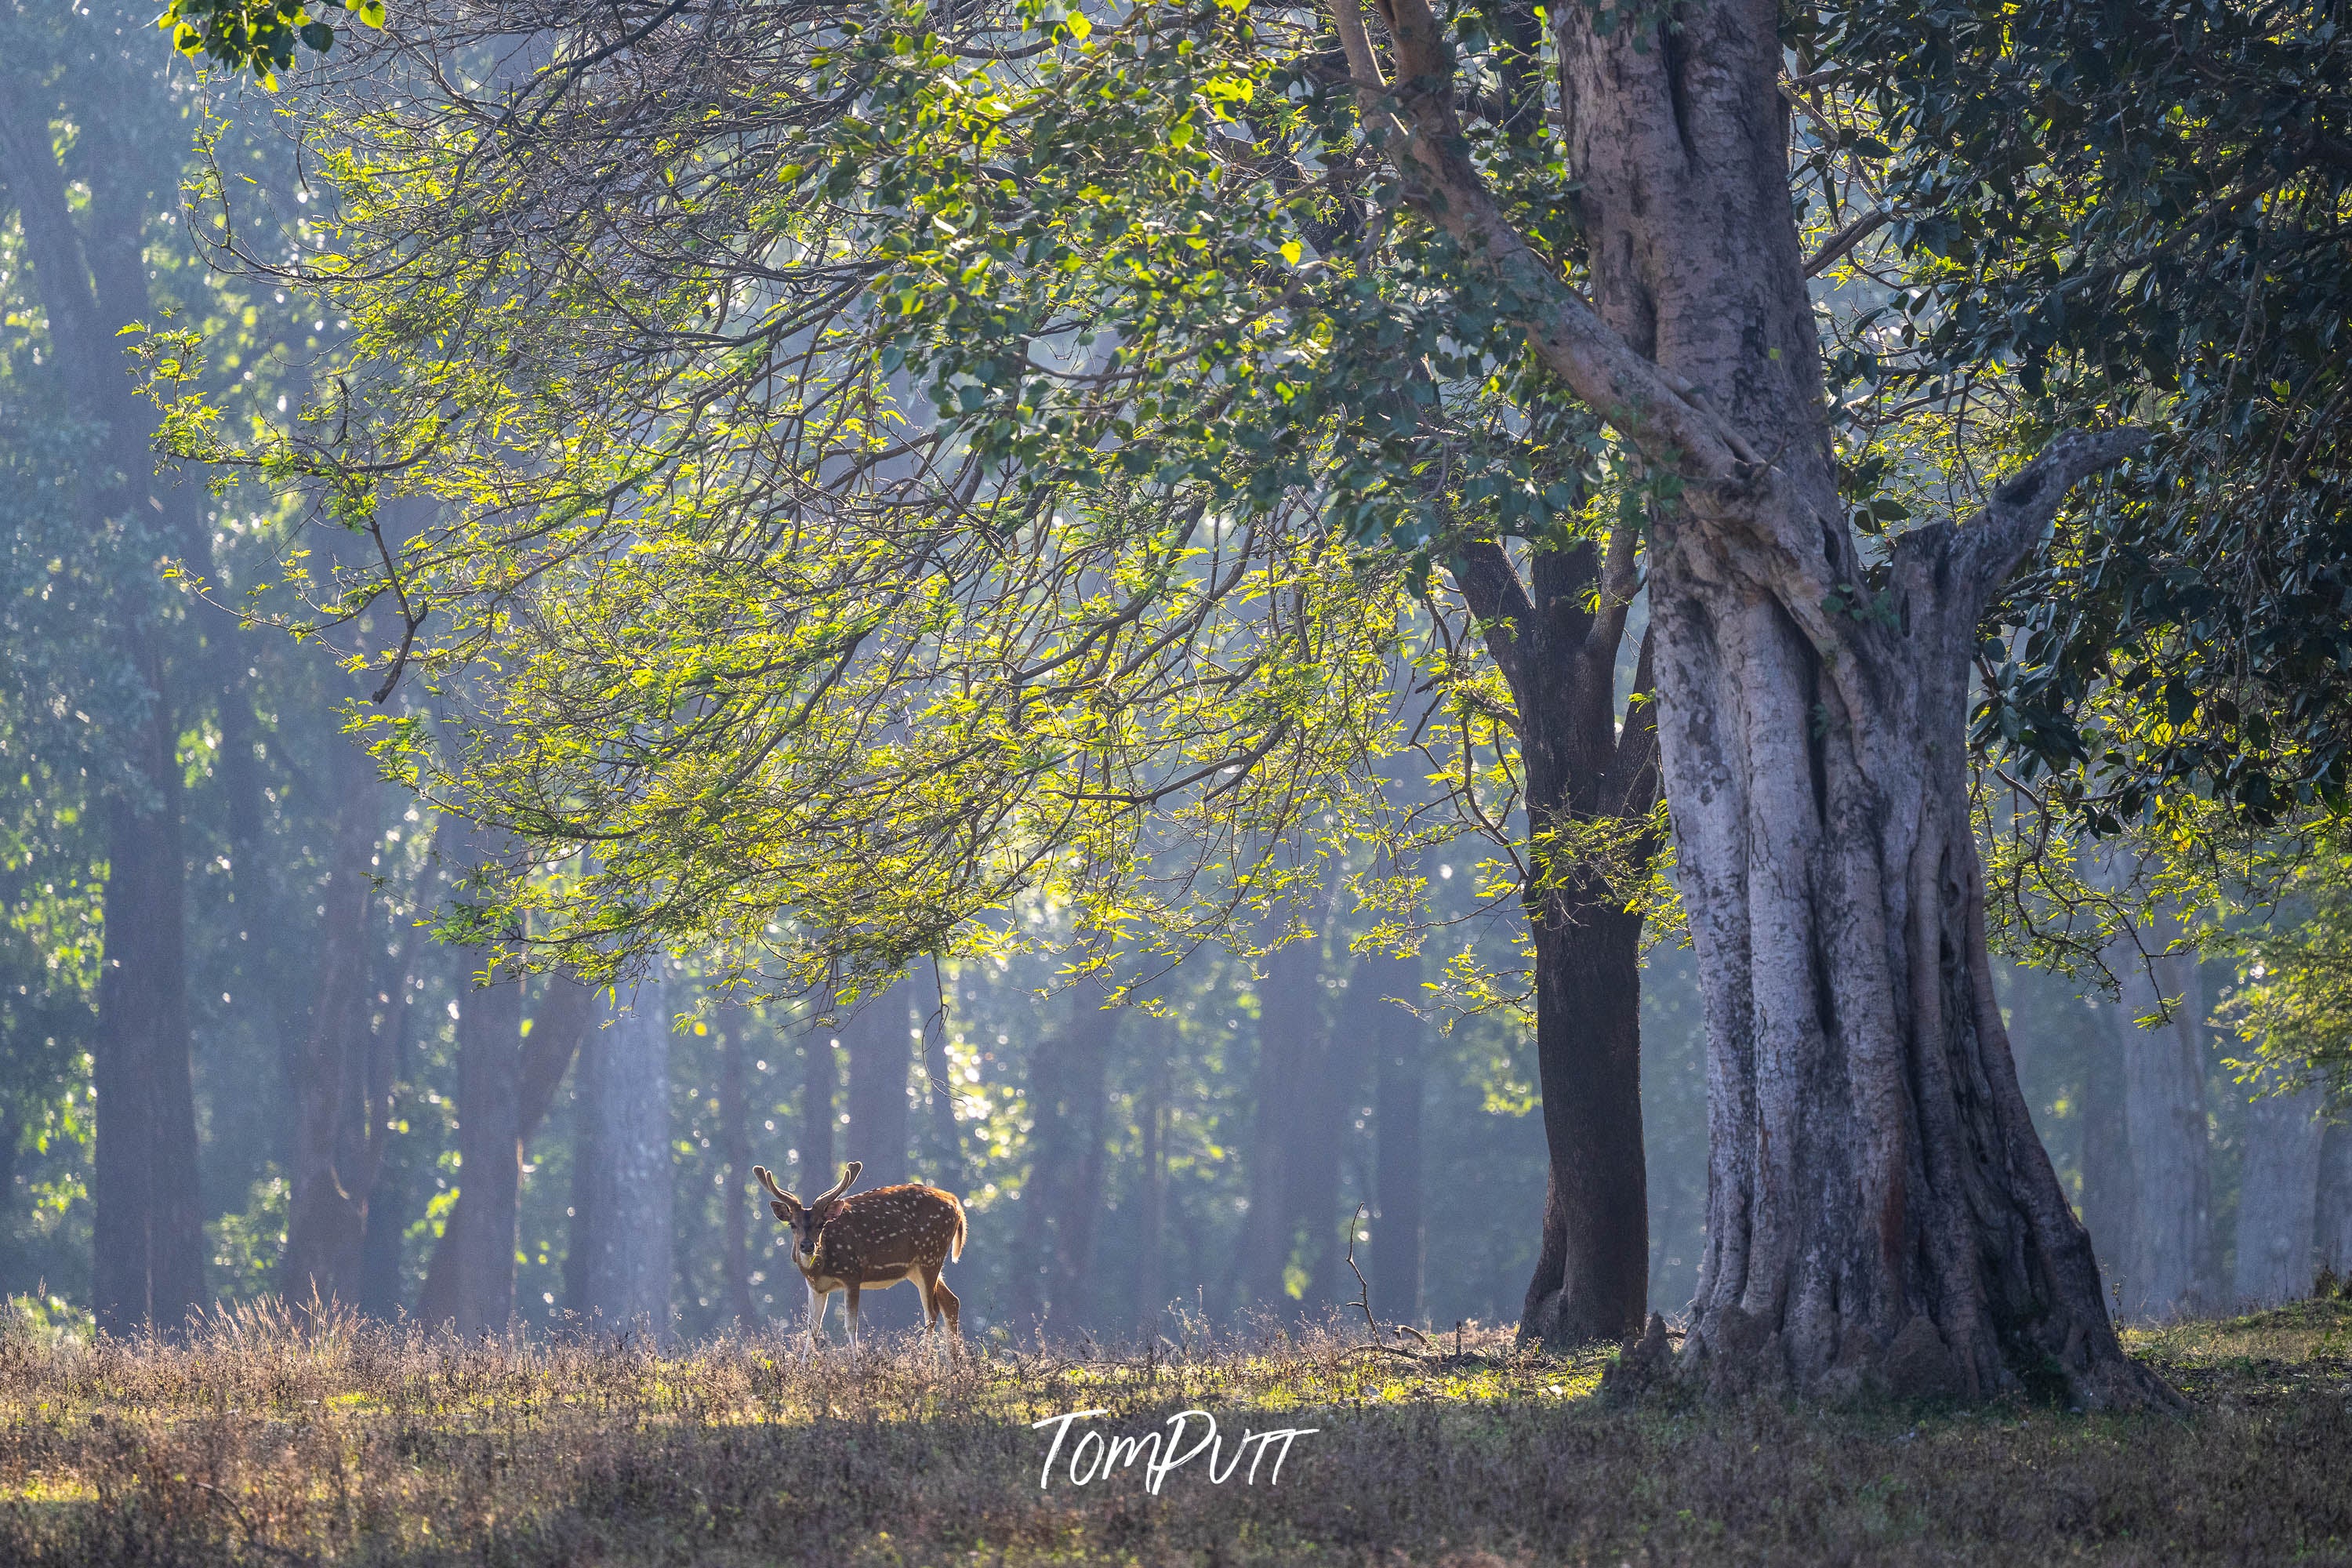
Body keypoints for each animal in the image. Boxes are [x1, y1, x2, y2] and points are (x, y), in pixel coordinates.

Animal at [752, 1159, 966, 1357]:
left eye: (821, 1224)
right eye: (792, 1225)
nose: (807, 1246)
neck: (820, 1268)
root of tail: (957, 1204)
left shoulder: (852, 1274)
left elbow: (850, 1325)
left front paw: (857, 1362)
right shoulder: (816, 1287)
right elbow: (812, 1328)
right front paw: (804, 1366)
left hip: (930, 1255)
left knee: (931, 1312)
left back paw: (925, 1361)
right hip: (917, 1267)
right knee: (951, 1301)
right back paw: (954, 1363)